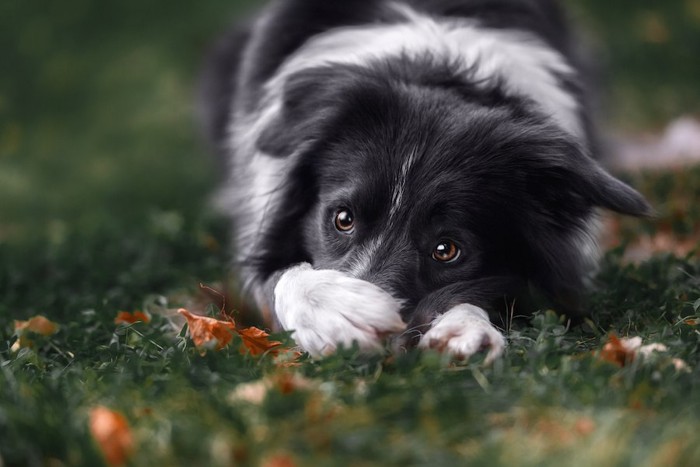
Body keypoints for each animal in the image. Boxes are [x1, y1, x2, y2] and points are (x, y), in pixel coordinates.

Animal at [197, 0, 652, 362]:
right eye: (342, 219)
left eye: (446, 250)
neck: (433, 65)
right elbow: (282, 275)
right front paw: (340, 314)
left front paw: (466, 329)